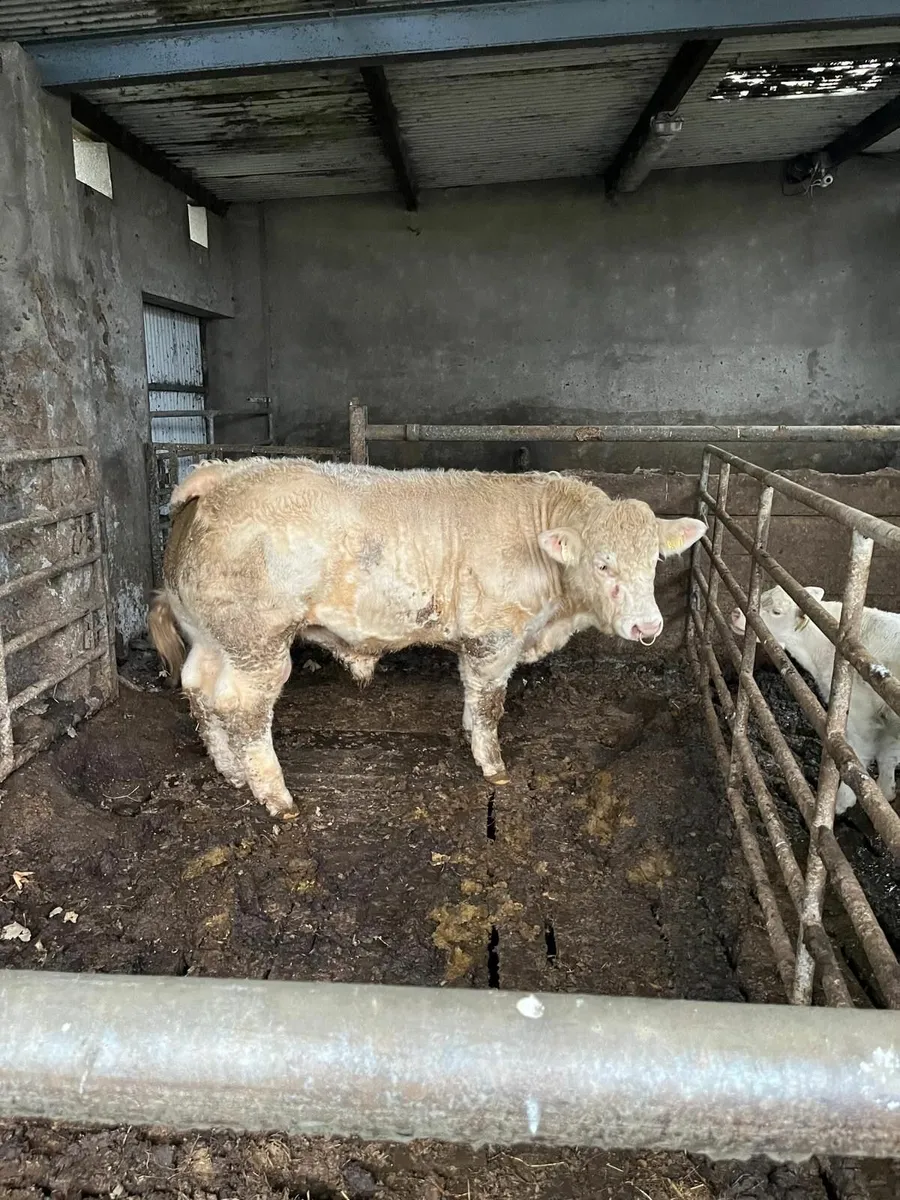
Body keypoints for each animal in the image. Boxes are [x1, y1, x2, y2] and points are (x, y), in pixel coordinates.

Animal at [150, 458, 705, 818]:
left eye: (655, 560)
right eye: (602, 562)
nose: (648, 627)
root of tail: (223, 472)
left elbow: (473, 697)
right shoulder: (495, 636)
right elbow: (490, 703)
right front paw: (493, 766)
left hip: (210, 635)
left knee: (200, 690)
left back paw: (231, 771)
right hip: (259, 642)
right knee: (243, 709)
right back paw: (275, 796)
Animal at [731, 584, 900, 814]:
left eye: (776, 611)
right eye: (763, 594)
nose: (736, 613)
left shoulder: (861, 716)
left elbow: (861, 755)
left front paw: (841, 802)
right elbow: (888, 756)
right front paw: (886, 792)